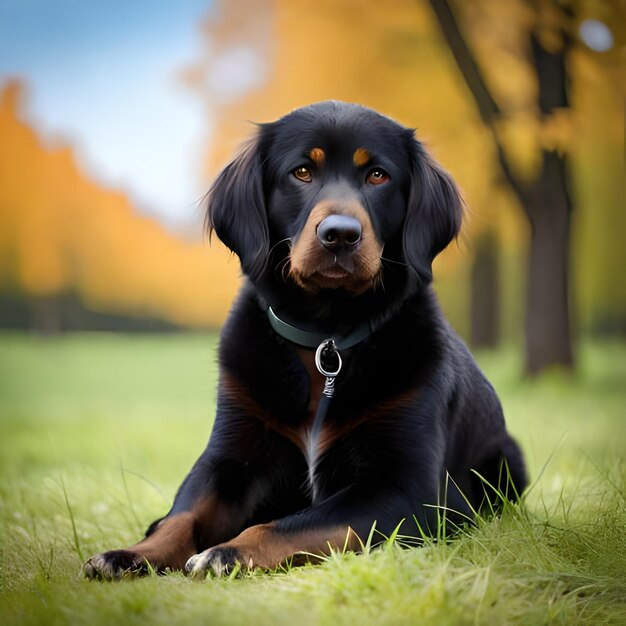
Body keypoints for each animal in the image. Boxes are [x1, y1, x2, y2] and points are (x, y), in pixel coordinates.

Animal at [81, 100, 520, 576]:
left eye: (378, 175)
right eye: (302, 172)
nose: (340, 234)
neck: (325, 339)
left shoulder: (407, 486)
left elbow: (292, 524)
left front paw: (227, 551)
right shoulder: (229, 457)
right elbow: (184, 514)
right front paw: (131, 554)